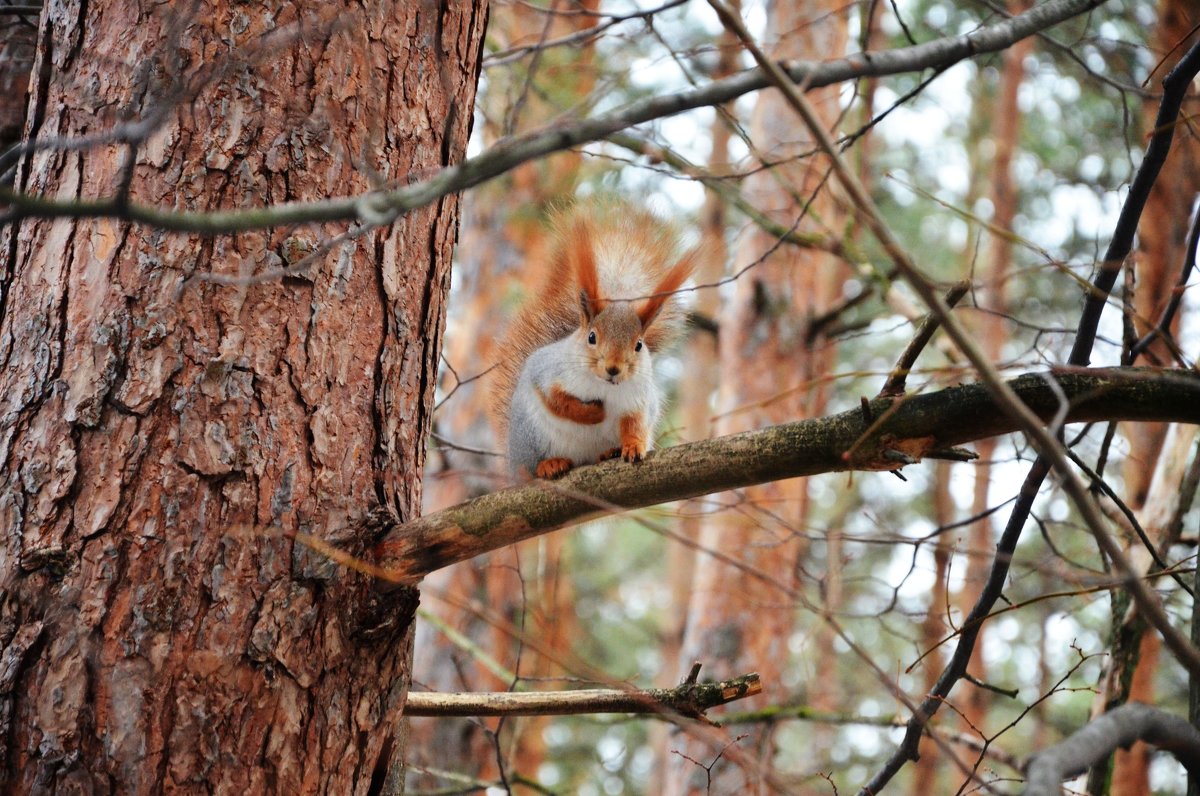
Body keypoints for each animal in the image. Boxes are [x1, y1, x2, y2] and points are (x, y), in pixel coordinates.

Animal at [487, 204, 696, 480]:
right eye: (592, 337)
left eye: (639, 345)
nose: (613, 368)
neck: (603, 385)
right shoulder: (547, 373)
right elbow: (559, 401)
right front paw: (594, 413)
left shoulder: (638, 399)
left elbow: (634, 424)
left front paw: (633, 445)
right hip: (529, 438)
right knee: (532, 467)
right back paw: (549, 464)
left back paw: (610, 452)